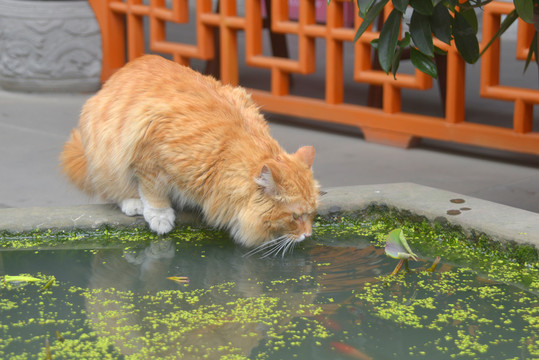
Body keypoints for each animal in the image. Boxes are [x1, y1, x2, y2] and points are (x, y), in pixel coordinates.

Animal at [60, 54, 320, 255]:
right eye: (295, 217)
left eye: (312, 214)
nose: (308, 235)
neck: (223, 156)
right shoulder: (150, 155)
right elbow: (153, 193)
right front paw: (160, 217)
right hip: (106, 157)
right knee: (114, 190)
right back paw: (133, 203)